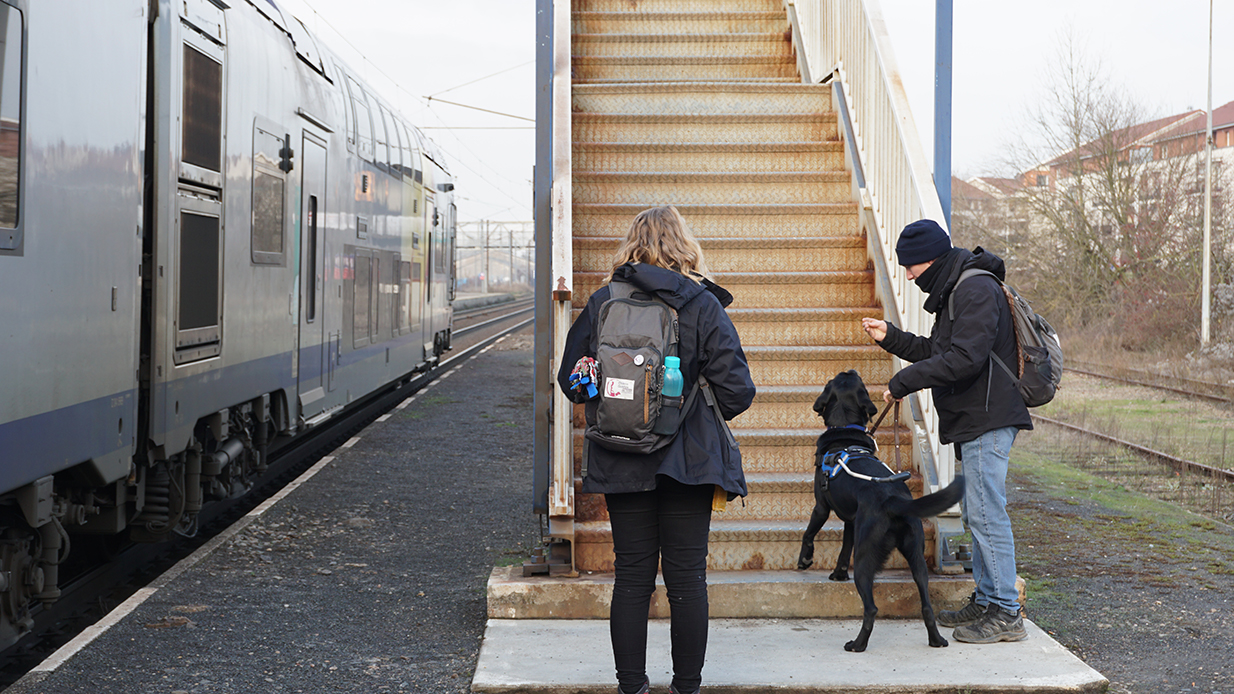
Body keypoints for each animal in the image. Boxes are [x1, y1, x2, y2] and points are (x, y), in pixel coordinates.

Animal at [799, 367, 962, 647]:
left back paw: (857, 645)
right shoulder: (851, 521)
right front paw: (838, 573)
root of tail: (894, 500)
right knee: (926, 605)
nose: (851, 369)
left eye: (836, 378)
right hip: (917, 558)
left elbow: (809, 533)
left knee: (871, 608)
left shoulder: (821, 507)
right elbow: (844, 549)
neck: (844, 428)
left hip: (866, 557)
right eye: (857, 381)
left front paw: (805, 559)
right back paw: (936, 640)